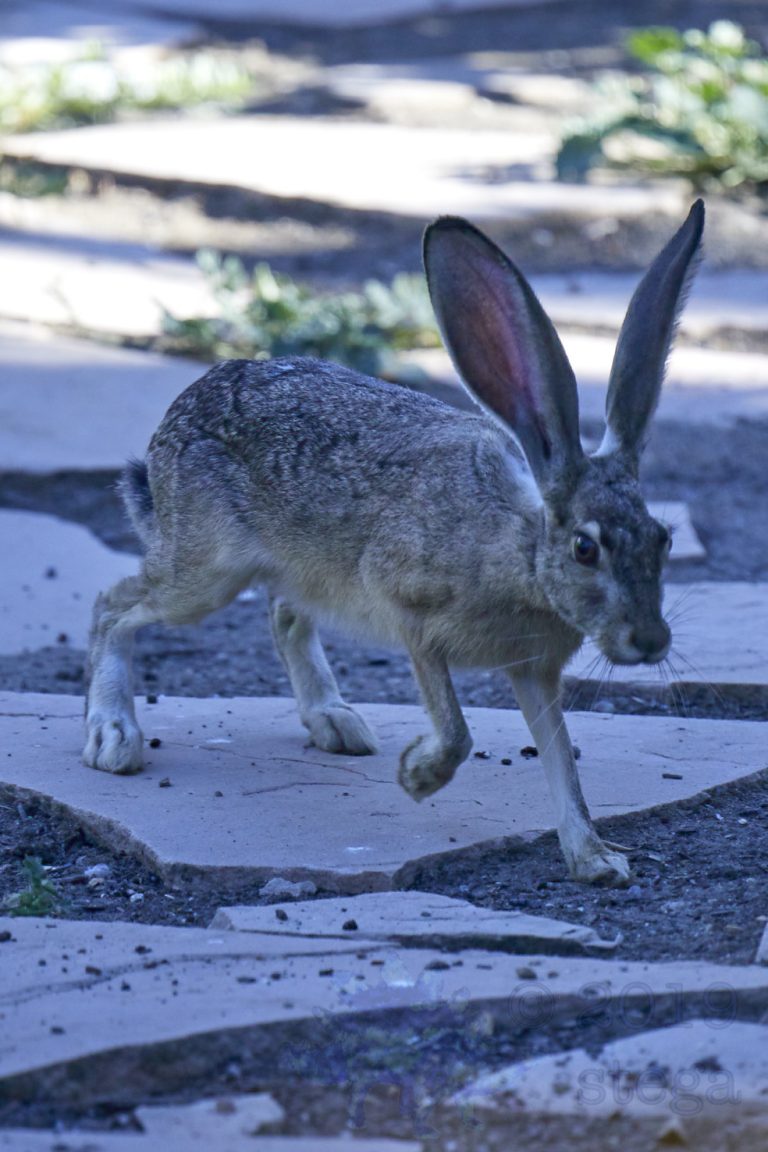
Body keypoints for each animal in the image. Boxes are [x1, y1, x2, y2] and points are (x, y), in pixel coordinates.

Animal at [84, 199, 704, 886]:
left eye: (663, 539)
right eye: (586, 548)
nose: (649, 641)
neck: (521, 552)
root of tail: (181, 410)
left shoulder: (533, 668)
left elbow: (560, 757)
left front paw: (594, 861)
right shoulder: (411, 615)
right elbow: (458, 732)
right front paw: (417, 776)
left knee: (283, 613)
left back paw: (335, 721)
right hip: (206, 571)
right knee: (113, 605)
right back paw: (113, 737)